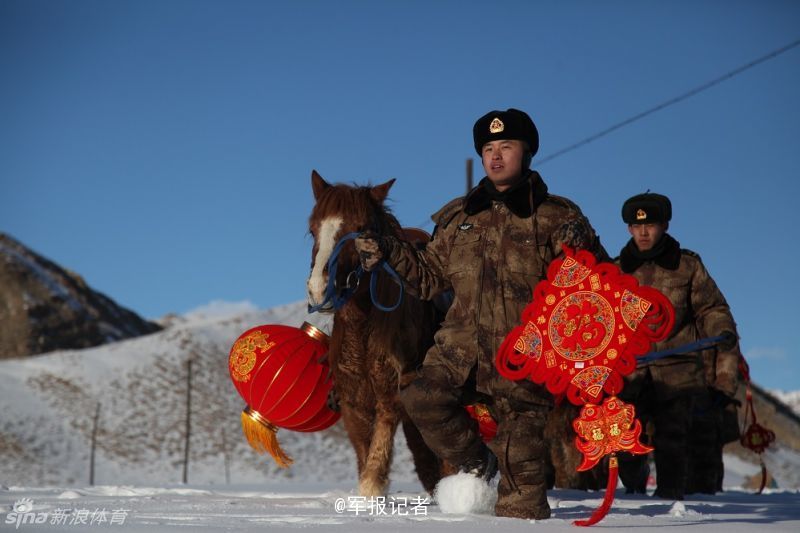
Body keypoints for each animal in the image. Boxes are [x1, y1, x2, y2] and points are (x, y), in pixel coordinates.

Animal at [306, 169, 446, 494]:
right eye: (313, 229)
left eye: (360, 229)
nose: (320, 288)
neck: (364, 331)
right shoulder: (353, 408)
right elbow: (364, 460)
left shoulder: (389, 402)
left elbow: (374, 471)